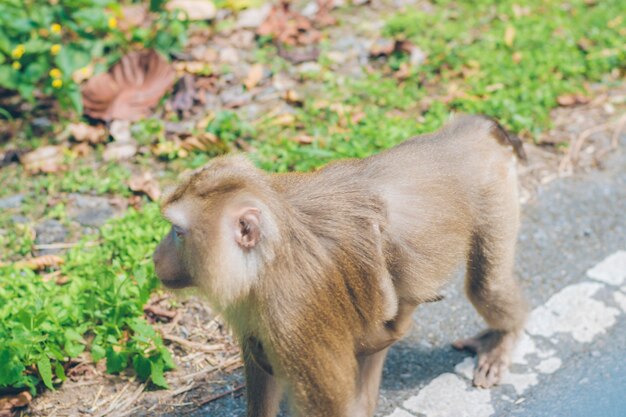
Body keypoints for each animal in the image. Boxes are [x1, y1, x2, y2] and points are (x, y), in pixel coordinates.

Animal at [152, 114, 528, 416]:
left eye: (177, 232)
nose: (156, 255)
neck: (272, 255)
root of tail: (465, 132)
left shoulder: (293, 315)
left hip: (494, 191)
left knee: (485, 286)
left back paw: (502, 336)